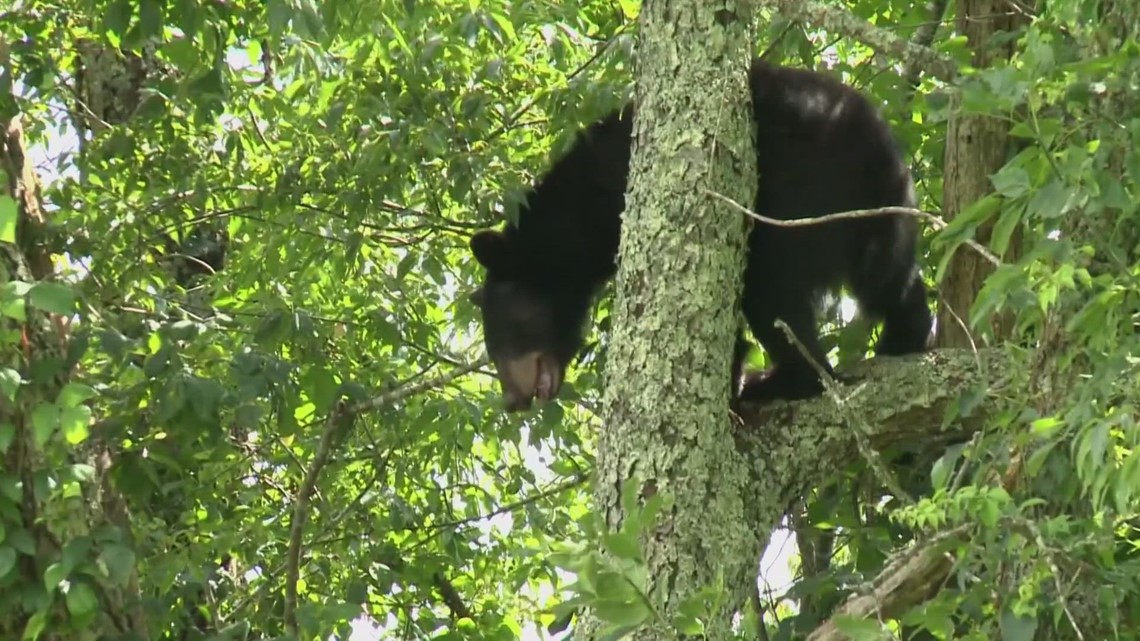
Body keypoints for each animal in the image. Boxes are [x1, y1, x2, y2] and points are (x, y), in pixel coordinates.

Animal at [467, 58, 930, 408]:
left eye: (499, 335)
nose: (511, 400)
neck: (575, 219)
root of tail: (869, 138)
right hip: (883, 207)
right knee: (888, 279)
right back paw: (903, 338)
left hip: (799, 197)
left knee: (772, 292)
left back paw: (782, 382)